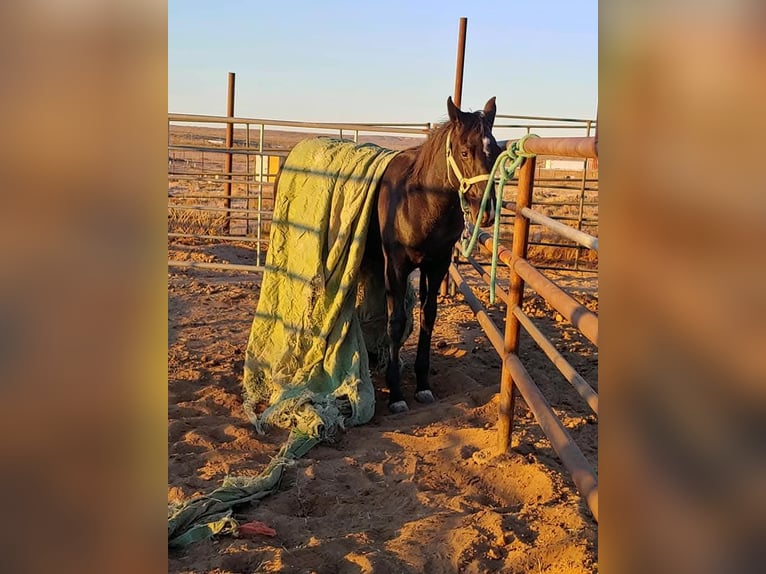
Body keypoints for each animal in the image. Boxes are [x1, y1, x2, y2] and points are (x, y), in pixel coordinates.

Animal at [364, 96, 502, 413]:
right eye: (464, 151)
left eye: (496, 151)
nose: (487, 212)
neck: (418, 201)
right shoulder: (396, 266)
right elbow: (397, 321)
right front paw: (396, 393)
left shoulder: (437, 265)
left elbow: (428, 316)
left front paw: (423, 384)